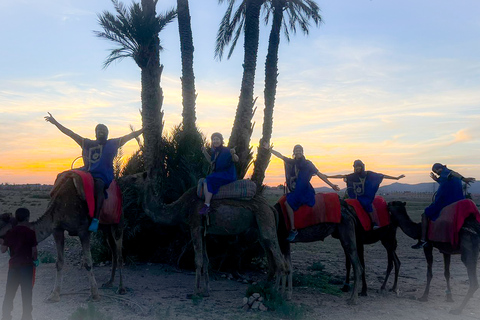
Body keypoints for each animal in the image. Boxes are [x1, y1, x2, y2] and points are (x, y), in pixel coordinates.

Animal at [135, 174, 288, 298]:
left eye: (135, 177)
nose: (127, 178)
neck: (182, 207)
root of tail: (270, 206)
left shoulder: (195, 226)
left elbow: (197, 260)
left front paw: (195, 292)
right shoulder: (203, 231)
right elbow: (205, 260)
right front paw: (206, 291)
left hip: (265, 220)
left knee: (280, 260)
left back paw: (277, 293)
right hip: (261, 227)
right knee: (271, 258)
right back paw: (266, 289)